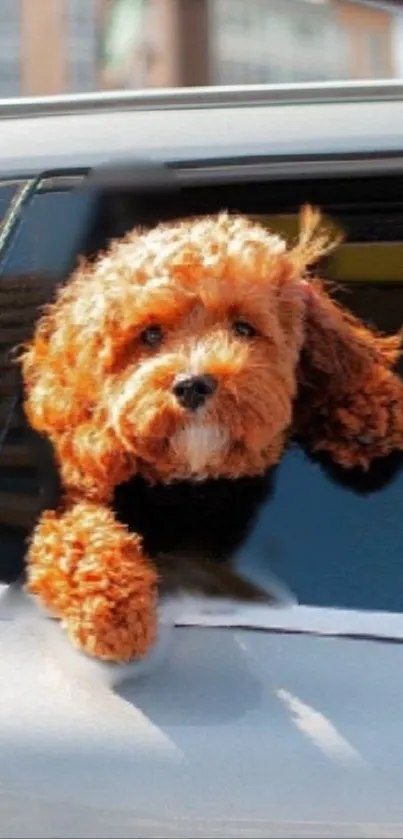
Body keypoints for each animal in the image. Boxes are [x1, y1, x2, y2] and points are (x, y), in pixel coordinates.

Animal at [20, 208, 403, 664]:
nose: (192, 385)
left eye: (243, 328)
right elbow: (77, 537)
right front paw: (113, 609)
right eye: (150, 334)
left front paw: (372, 407)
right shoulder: (76, 499)